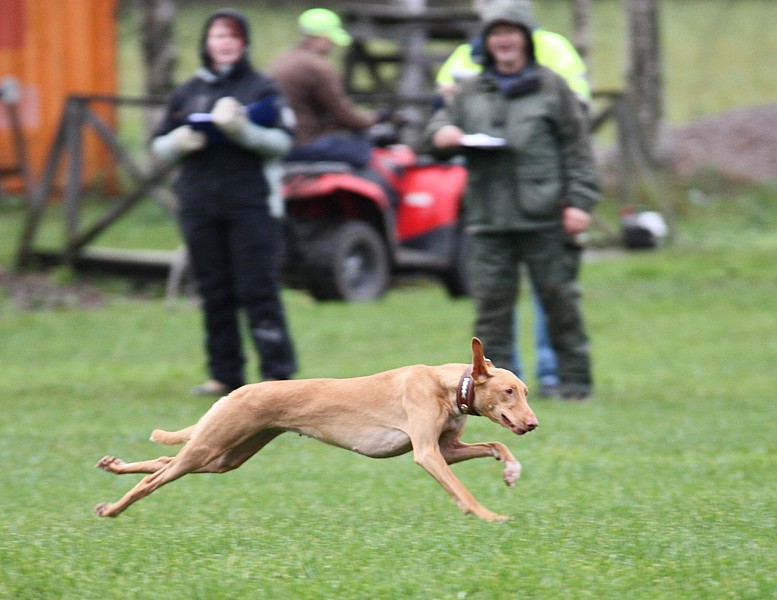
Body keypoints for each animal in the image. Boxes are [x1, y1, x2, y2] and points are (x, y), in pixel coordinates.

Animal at [94, 338, 538, 522]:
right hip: (211, 446)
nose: (533, 423)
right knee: (154, 479)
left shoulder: (447, 449)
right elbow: (462, 490)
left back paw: (115, 466)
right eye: (508, 391)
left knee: (163, 460)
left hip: (226, 455)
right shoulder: (428, 453)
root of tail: (236, 391)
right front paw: (487, 515)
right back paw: (114, 508)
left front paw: (511, 470)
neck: (447, 386)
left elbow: (496, 444)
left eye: (526, 392)